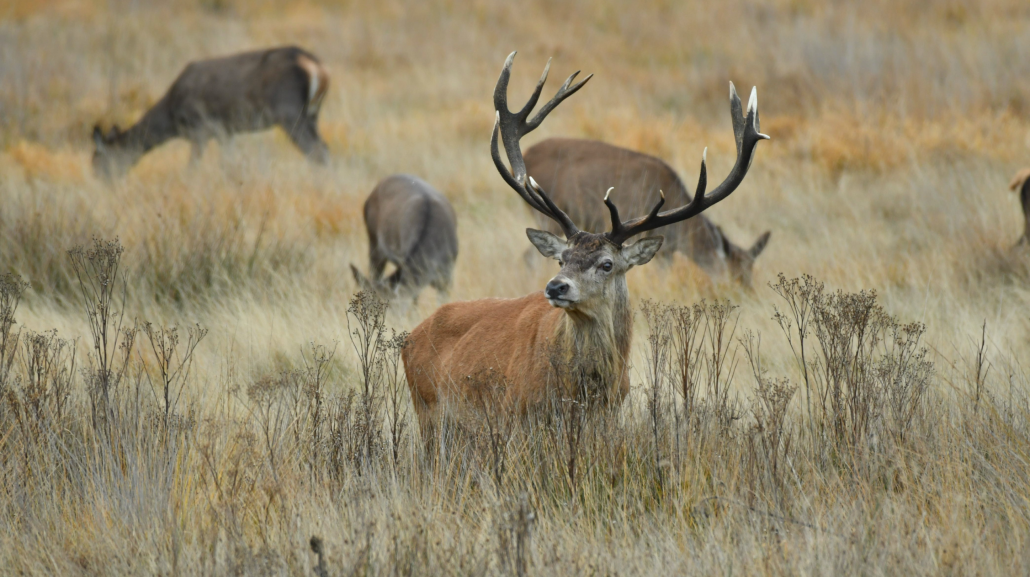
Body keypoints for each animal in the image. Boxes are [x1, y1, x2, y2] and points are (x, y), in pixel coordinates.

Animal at [92, 45, 327, 178]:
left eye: (98, 158)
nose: (100, 180)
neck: (172, 117)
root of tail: (318, 68)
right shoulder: (226, 132)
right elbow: (227, 163)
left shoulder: (201, 128)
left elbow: (192, 168)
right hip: (312, 114)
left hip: (289, 112)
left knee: (318, 152)